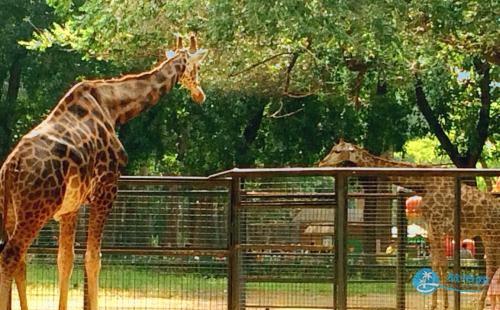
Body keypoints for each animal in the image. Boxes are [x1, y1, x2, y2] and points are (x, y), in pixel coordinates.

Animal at [0, 34, 207, 310]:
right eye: (197, 67)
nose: (200, 94)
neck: (114, 107)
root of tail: (10, 169)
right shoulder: (106, 189)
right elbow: (93, 258)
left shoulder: (72, 207)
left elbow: (65, 259)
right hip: (36, 210)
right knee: (11, 256)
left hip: (11, 212)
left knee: (20, 260)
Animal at [320, 140, 500, 310]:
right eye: (332, 149)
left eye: (337, 151)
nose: (321, 163)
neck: (423, 184)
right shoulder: (431, 229)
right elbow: (435, 264)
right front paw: (434, 305)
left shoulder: (438, 225)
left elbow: (443, 264)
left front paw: (445, 305)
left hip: (490, 234)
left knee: (491, 267)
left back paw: (479, 304)